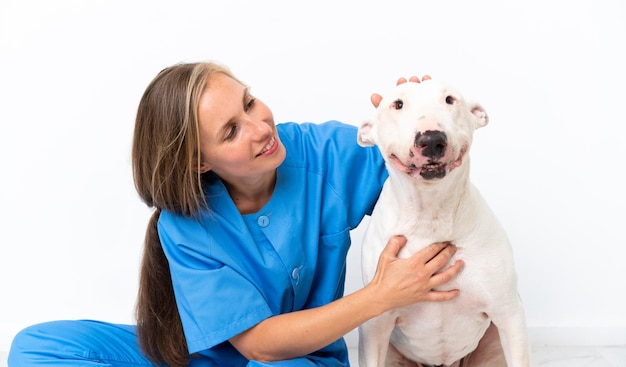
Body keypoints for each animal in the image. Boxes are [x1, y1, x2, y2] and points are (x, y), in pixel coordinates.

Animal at [356, 79, 528, 366]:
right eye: (397, 104)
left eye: (449, 99)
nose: (431, 139)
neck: (431, 214)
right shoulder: (375, 325)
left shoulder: (509, 315)